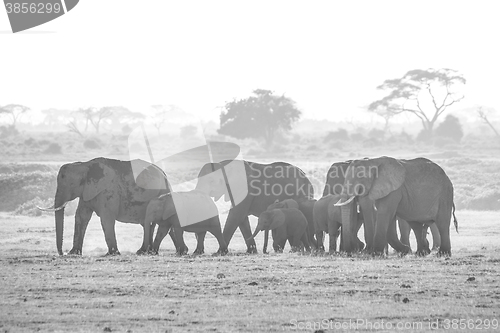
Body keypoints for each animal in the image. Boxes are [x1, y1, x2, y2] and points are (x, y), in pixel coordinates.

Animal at [37, 157, 175, 255]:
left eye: (70, 184)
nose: (62, 253)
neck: (83, 165)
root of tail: (164, 174)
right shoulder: (87, 191)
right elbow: (81, 217)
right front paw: (74, 253)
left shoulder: (108, 190)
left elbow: (106, 218)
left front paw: (112, 254)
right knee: (149, 224)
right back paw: (145, 251)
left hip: (161, 193)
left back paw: (146, 252)